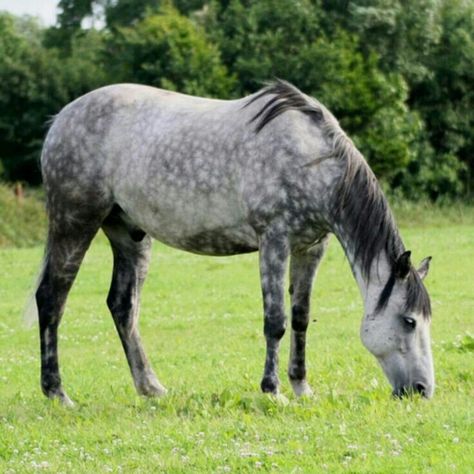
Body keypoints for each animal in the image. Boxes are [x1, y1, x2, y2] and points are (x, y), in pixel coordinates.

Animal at [32, 79, 434, 406]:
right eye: (409, 321)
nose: (422, 390)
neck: (311, 160)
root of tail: (60, 119)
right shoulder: (274, 241)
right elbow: (276, 320)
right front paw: (273, 391)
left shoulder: (311, 248)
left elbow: (301, 318)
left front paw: (302, 387)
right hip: (74, 223)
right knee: (52, 299)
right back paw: (58, 393)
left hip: (129, 233)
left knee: (123, 306)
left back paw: (151, 387)